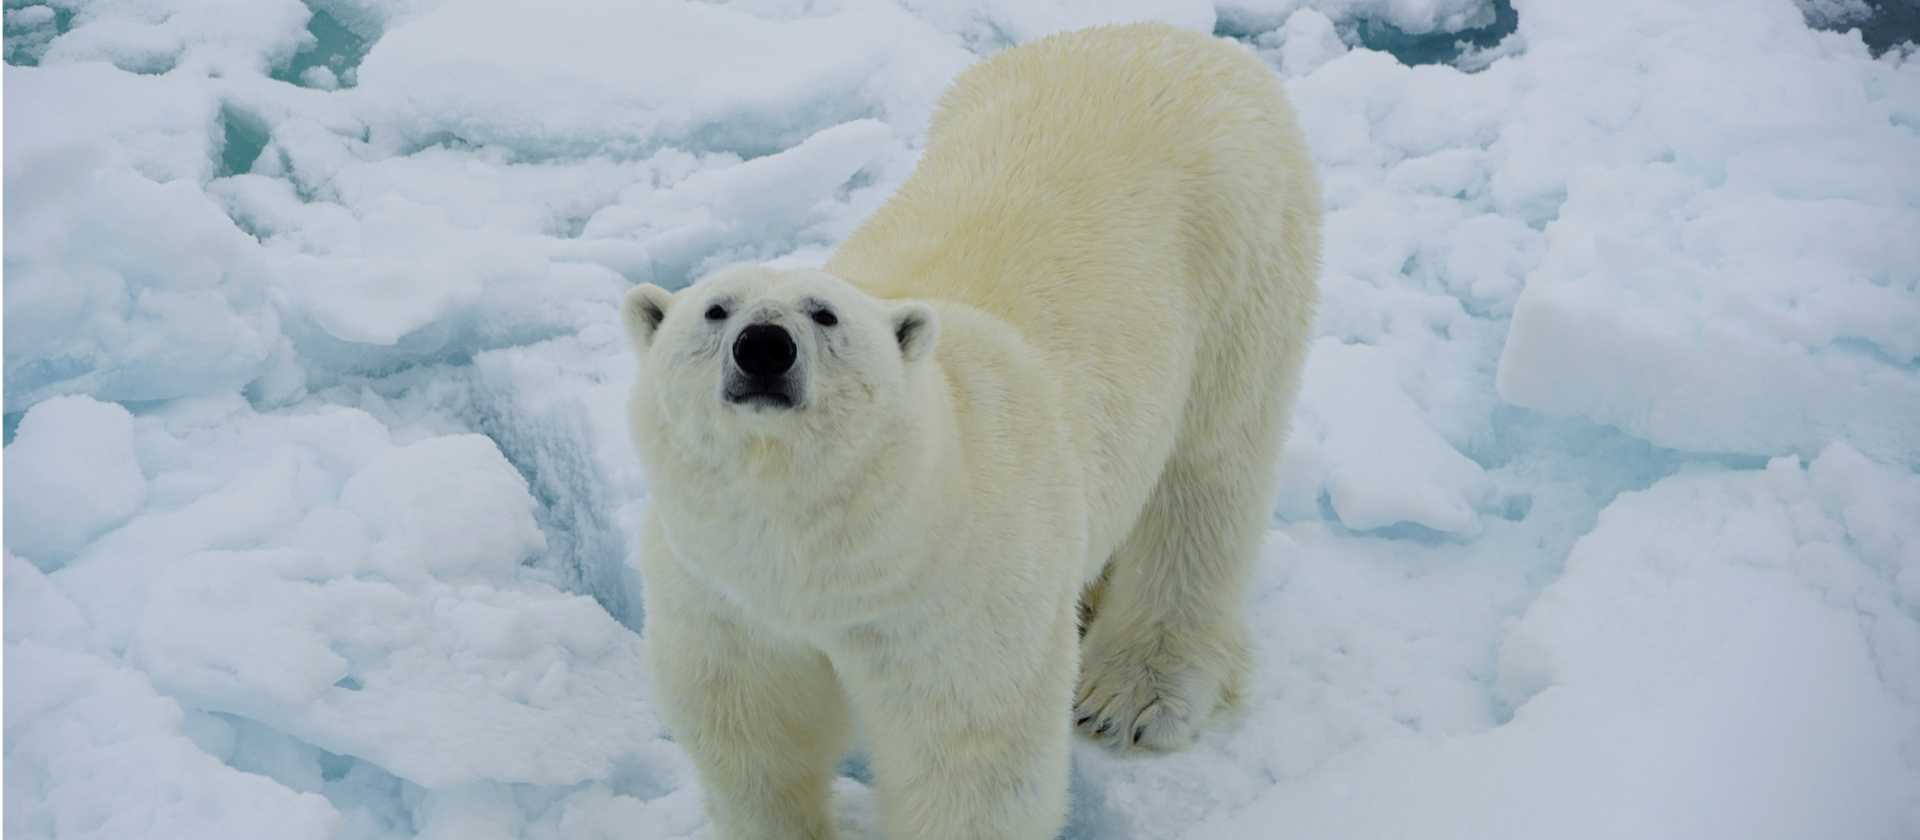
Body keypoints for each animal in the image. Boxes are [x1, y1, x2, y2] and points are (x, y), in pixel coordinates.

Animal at [621, 22, 1320, 840]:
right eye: (716, 309)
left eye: (825, 315)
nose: (764, 347)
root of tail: (1180, 37)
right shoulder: (722, 593)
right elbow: (750, 733)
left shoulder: (962, 596)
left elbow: (971, 756)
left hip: (1243, 260)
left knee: (1208, 475)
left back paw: (1135, 693)